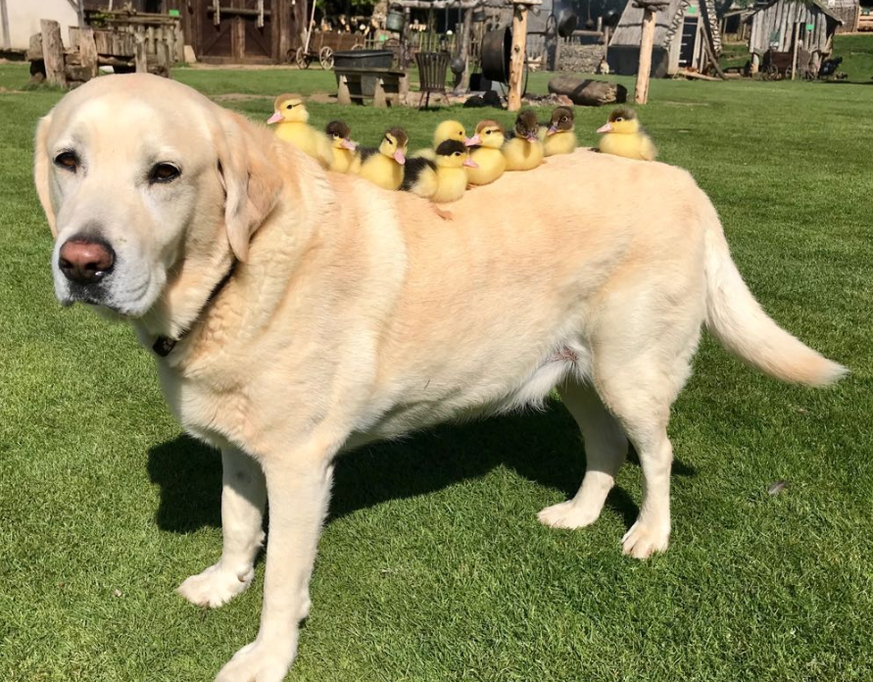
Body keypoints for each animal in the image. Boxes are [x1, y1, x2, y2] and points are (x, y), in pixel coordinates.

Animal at [35, 71, 844, 676]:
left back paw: (650, 535)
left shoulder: (299, 467)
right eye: (67, 161)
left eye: (165, 173)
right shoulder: (239, 446)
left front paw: (266, 656)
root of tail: (681, 179)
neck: (232, 276)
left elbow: (282, 580)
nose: (83, 264)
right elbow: (239, 525)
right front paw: (224, 581)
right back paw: (582, 513)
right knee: (606, 445)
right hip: (572, 374)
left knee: (658, 451)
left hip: (630, 372)